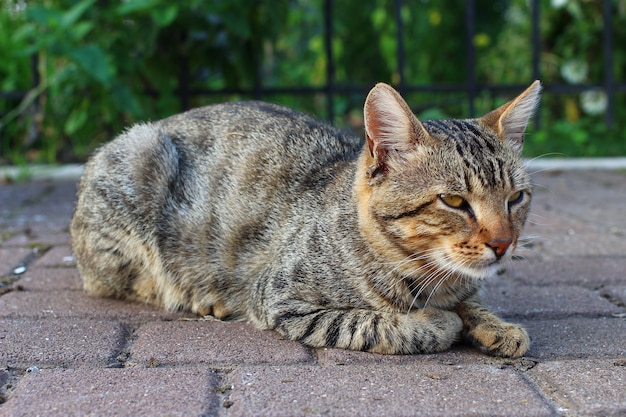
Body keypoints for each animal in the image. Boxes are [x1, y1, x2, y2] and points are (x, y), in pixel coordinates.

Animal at [68, 81, 540, 358]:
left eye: (516, 198)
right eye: (454, 201)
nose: (503, 243)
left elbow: (473, 303)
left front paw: (494, 324)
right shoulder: (283, 300)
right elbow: (376, 323)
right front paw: (438, 322)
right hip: (141, 160)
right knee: (123, 282)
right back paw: (203, 298)